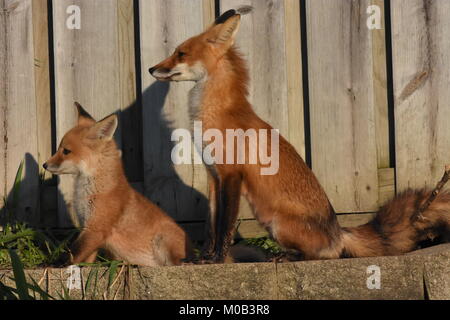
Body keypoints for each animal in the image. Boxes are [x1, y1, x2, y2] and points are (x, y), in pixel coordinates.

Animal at [44, 104, 192, 266]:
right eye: (59, 149)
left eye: (66, 151)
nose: (44, 165)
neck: (88, 192)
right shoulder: (88, 229)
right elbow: (86, 258)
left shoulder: (95, 229)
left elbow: (73, 253)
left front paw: (55, 264)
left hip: (163, 241)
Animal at [150, 8, 450, 262]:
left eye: (181, 53)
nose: (152, 68)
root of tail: (338, 231)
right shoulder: (214, 176)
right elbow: (210, 225)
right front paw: (204, 258)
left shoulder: (232, 175)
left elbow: (224, 226)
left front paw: (218, 260)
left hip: (277, 224)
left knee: (326, 255)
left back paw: (289, 257)